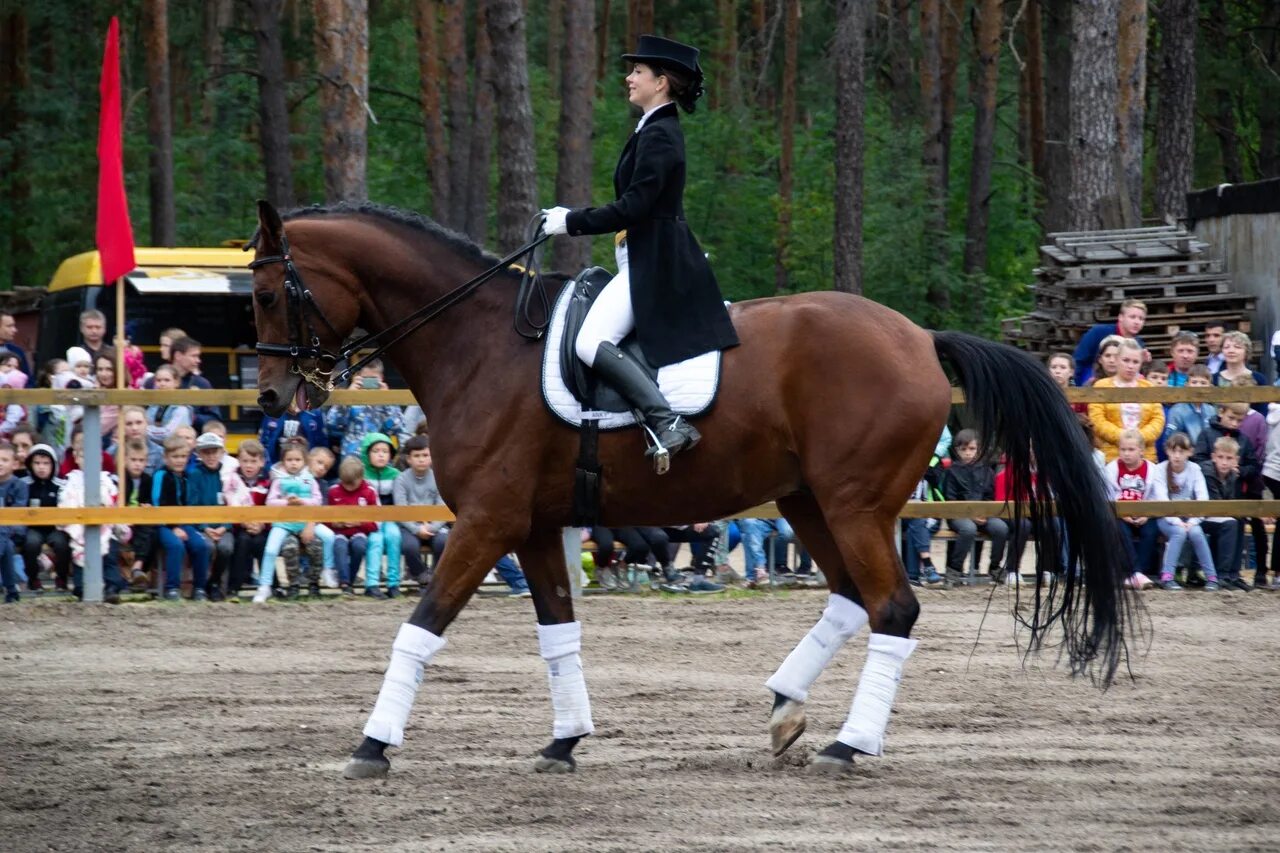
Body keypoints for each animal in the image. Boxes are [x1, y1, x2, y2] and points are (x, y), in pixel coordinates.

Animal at [247, 199, 1131, 778]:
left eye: (264, 293)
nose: (271, 398)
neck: (481, 342)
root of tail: (919, 336)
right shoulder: (532, 526)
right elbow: (557, 632)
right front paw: (565, 740)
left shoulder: (488, 522)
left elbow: (419, 627)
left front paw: (372, 745)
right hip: (811, 501)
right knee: (852, 598)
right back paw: (786, 711)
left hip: (853, 503)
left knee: (893, 608)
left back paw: (850, 743)